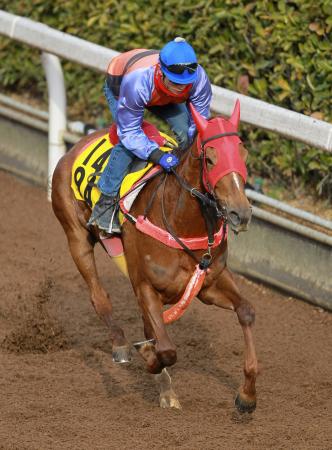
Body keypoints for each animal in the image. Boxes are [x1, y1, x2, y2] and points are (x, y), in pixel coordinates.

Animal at [52, 101, 260, 412]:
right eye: (210, 159)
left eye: (242, 154)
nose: (241, 213)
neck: (182, 222)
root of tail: (75, 147)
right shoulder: (147, 287)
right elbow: (167, 349)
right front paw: (150, 359)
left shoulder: (208, 284)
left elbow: (246, 311)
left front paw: (247, 395)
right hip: (76, 236)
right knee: (99, 297)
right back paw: (121, 345)